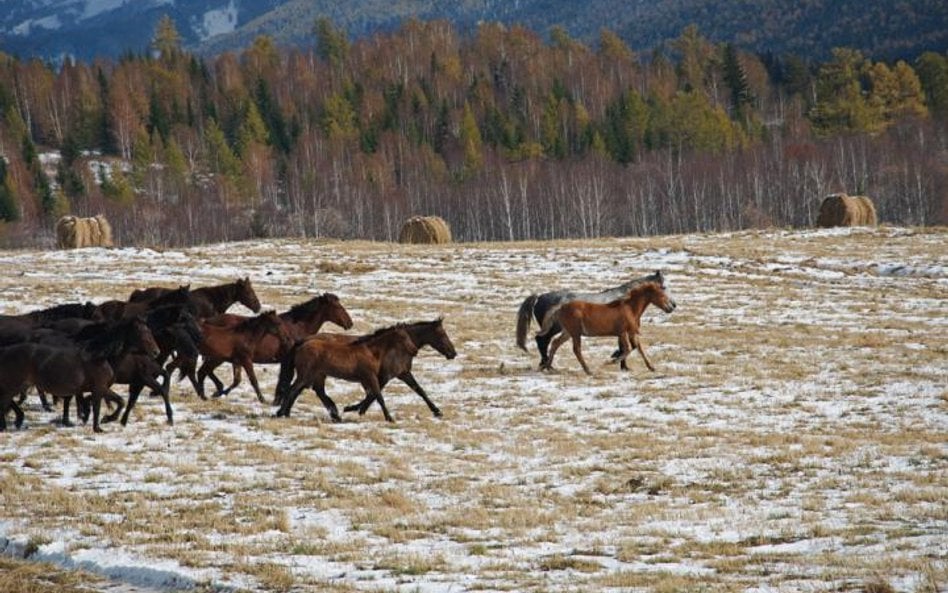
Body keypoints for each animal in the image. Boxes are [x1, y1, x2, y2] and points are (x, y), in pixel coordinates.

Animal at [276, 322, 458, 424]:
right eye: (442, 333)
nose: (453, 353)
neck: (374, 351)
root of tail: (302, 342)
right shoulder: (380, 376)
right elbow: (376, 395)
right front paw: (359, 410)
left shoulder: (402, 373)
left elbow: (419, 390)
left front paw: (437, 411)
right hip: (308, 374)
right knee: (296, 390)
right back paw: (283, 413)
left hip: (314, 375)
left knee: (307, 391)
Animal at [536, 278, 676, 374]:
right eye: (661, 294)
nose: (671, 307)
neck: (630, 308)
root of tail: (561, 307)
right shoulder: (622, 332)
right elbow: (627, 349)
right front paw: (611, 361)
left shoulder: (630, 332)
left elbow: (638, 347)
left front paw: (651, 367)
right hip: (575, 333)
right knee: (576, 350)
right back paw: (588, 370)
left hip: (567, 332)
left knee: (555, 343)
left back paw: (549, 367)